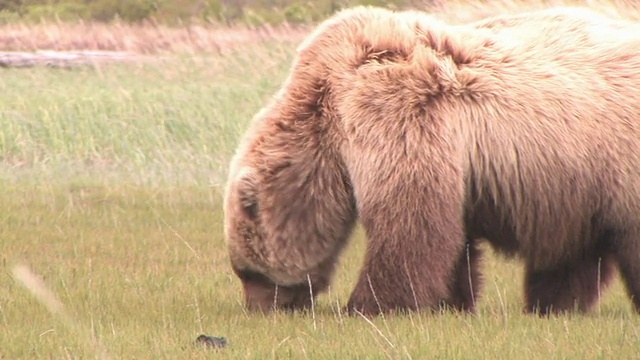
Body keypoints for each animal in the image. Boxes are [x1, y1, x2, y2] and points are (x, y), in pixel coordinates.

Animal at [222, 4, 640, 316]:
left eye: (247, 272)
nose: (260, 308)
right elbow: (451, 237)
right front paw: (450, 301)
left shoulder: (392, 110)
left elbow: (409, 219)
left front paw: (369, 305)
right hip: (577, 182)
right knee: (572, 251)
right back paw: (551, 305)